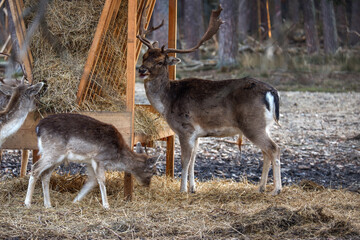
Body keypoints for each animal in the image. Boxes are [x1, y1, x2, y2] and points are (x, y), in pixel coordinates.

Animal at [25, 113, 159, 209]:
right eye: (152, 172)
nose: (147, 185)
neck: (117, 156)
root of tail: (38, 128)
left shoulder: (89, 162)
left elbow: (92, 181)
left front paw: (75, 201)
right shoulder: (98, 159)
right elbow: (101, 180)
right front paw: (106, 205)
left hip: (57, 156)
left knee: (45, 174)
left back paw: (48, 205)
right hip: (53, 152)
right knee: (35, 168)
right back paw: (27, 203)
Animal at [137, 4, 282, 195]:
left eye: (161, 62)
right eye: (145, 56)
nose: (141, 70)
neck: (167, 102)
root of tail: (271, 92)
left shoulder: (185, 128)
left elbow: (184, 161)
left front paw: (182, 190)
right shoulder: (197, 134)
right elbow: (193, 161)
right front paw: (192, 188)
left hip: (252, 123)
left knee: (273, 148)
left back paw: (276, 189)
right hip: (264, 125)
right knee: (266, 151)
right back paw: (261, 187)